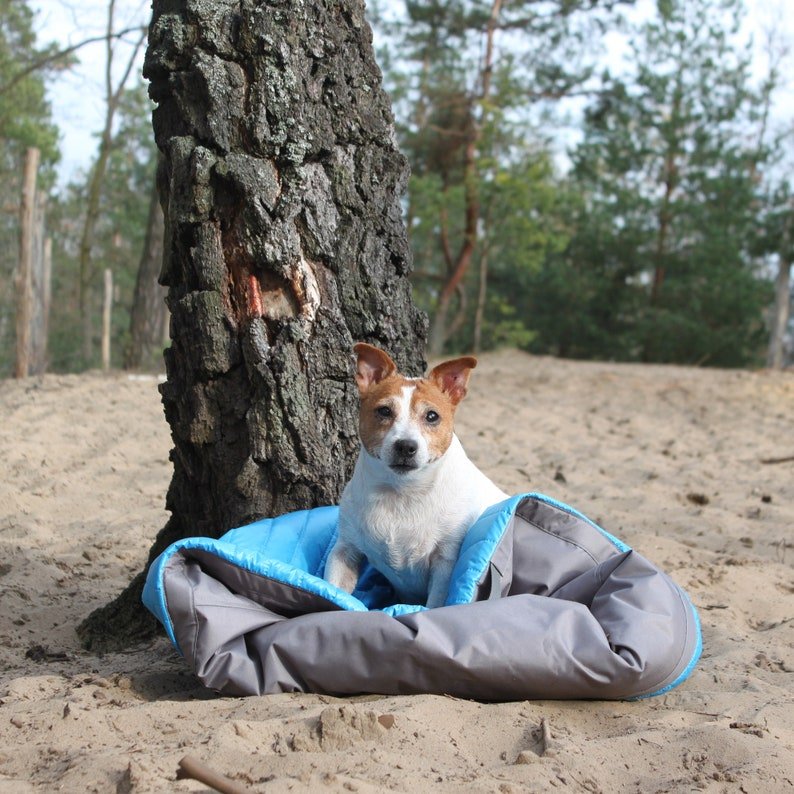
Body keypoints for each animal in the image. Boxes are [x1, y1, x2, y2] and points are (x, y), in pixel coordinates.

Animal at [324, 340, 504, 608]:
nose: (406, 446)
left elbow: (435, 602)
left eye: (432, 416)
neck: (402, 491)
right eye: (384, 411)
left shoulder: (445, 563)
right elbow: (333, 588)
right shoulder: (345, 550)